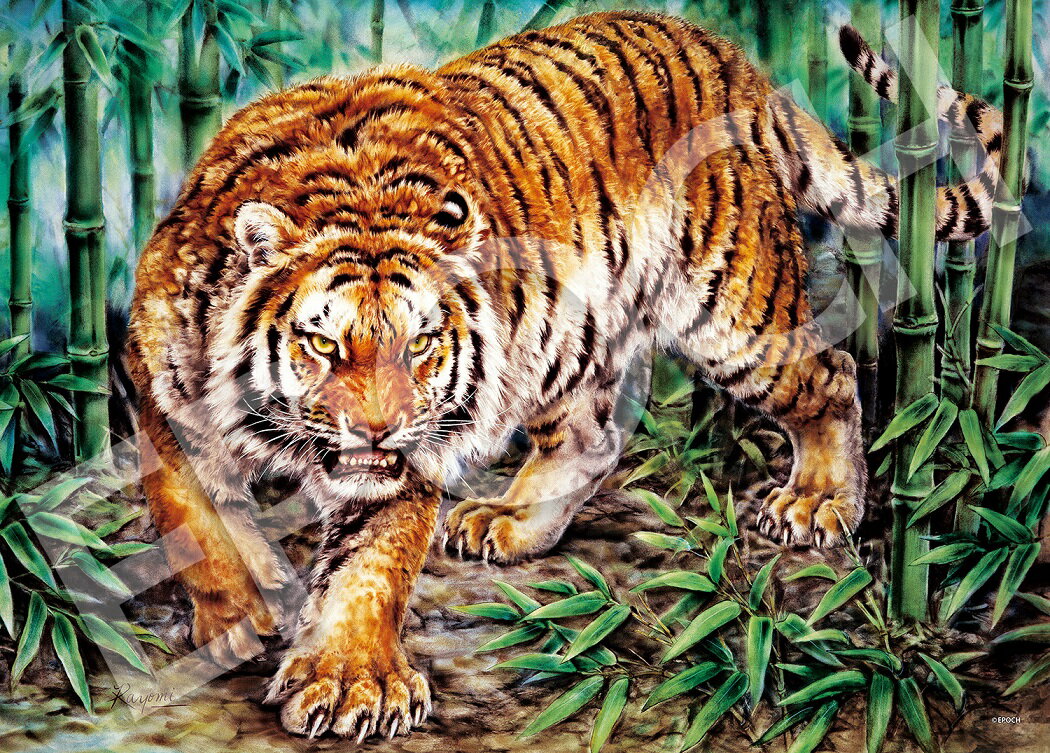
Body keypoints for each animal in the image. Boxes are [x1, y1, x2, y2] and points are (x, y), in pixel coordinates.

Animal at [126, 11, 1005, 740]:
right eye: (323, 344)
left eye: (420, 345)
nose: (380, 428)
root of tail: (735, 61)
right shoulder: (158, 395)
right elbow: (195, 525)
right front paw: (243, 614)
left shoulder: (411, 447)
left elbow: (367, 562)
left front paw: (350, 684)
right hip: (566, 337)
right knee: (592, 436)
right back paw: (511, 521)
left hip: (734, 311)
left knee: (831, 371)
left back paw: (819, 500)